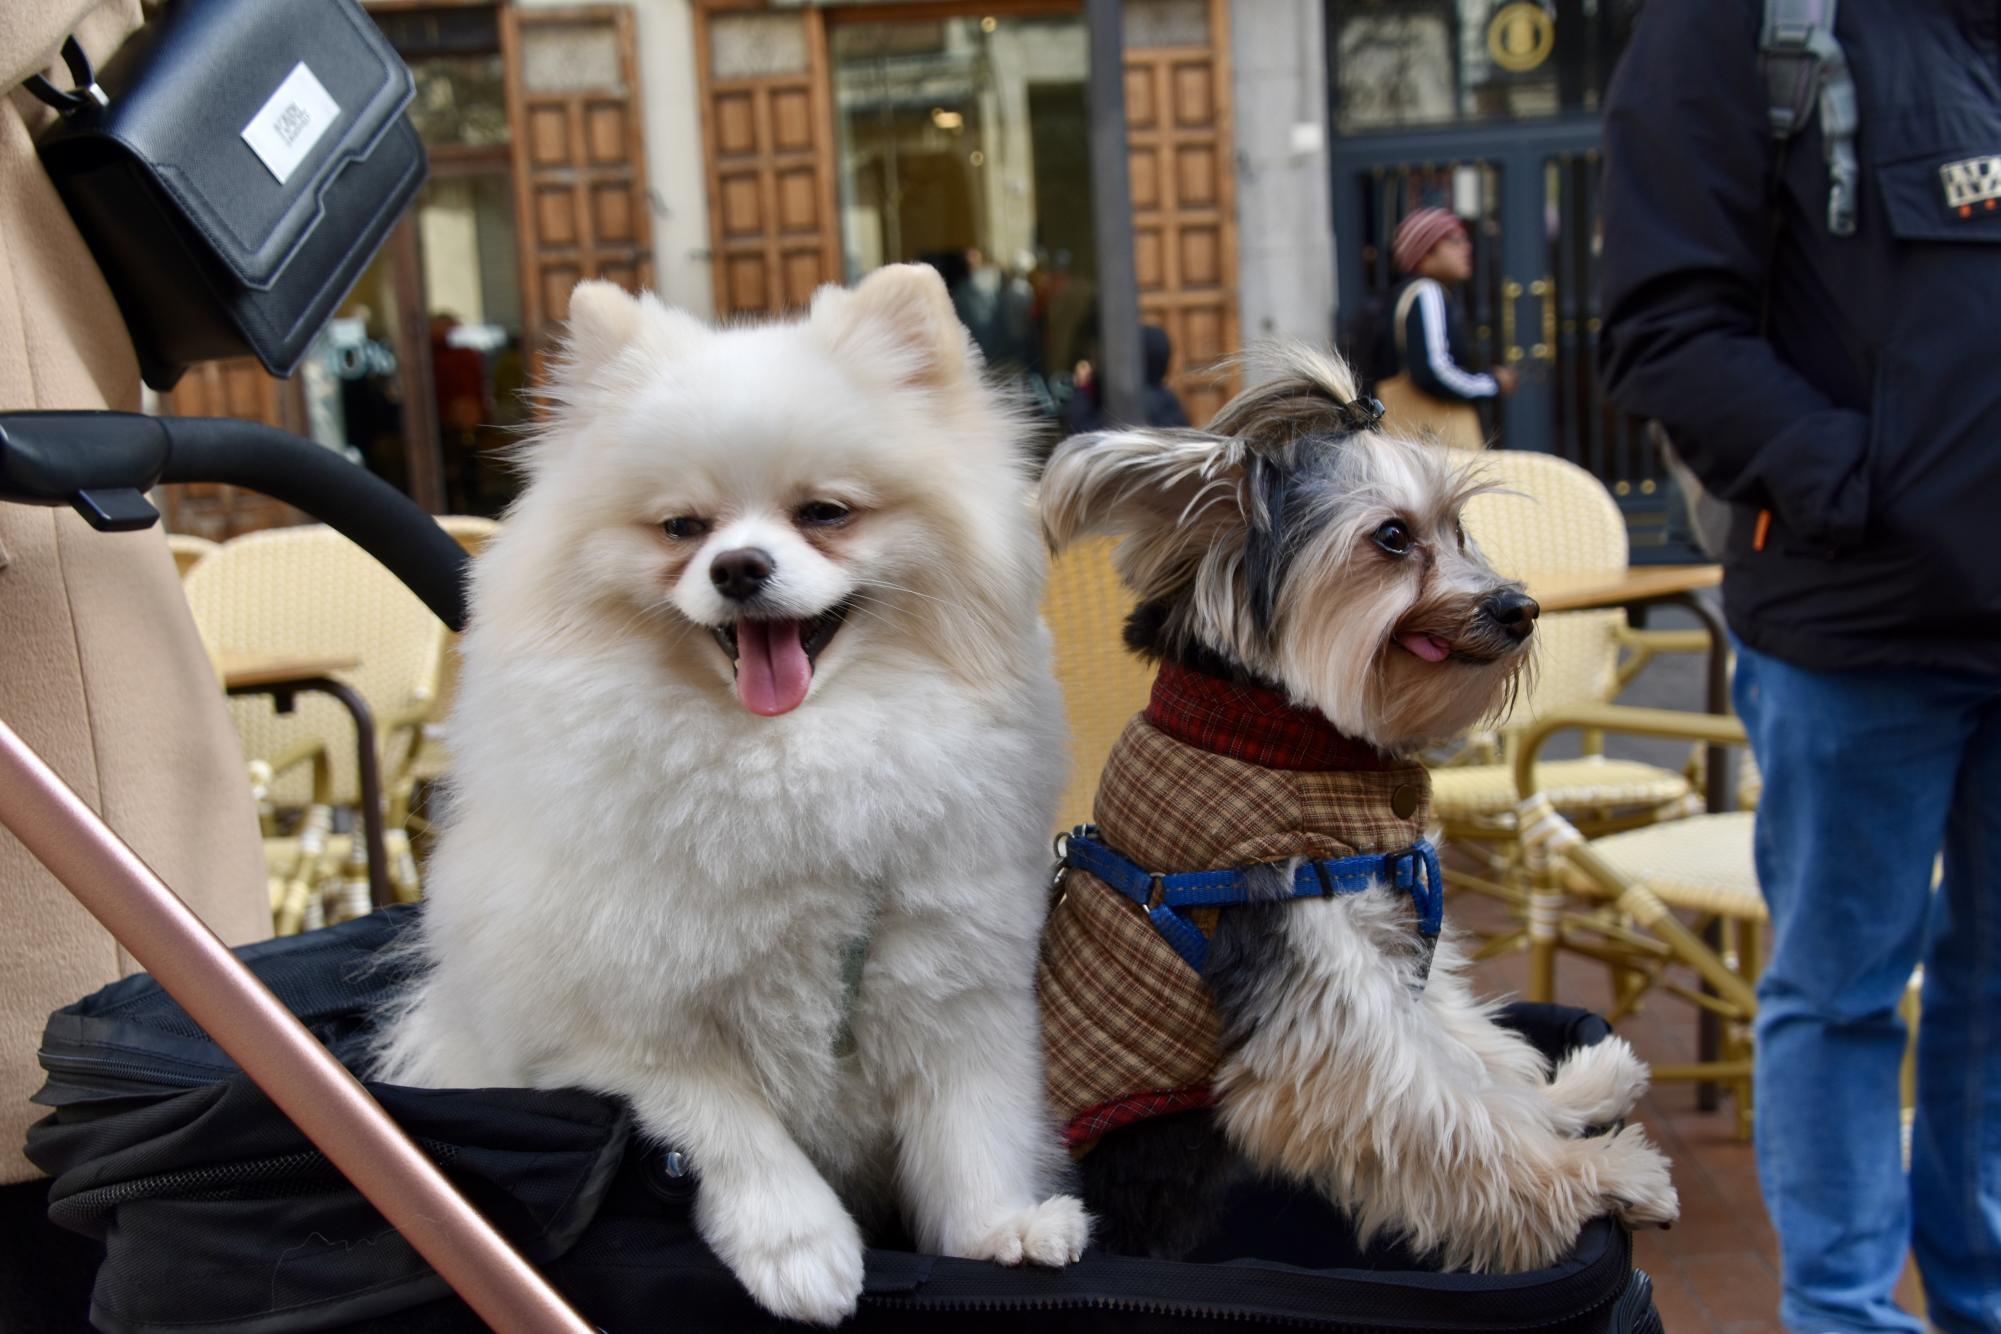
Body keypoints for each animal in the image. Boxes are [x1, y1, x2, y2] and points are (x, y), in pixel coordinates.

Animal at [376, 264, 1096, 1328]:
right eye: (682, 528)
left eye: (825, 513)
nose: (739, 566)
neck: (786, 758)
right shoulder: (617, 1027)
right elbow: (730, 1129)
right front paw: (800, 1249)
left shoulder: (953, 985)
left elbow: (971, 1129)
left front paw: (996, 1234)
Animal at [1040, 344, 1680, 1272]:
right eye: (1392, 537)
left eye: (1458, 530)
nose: (1520, 607)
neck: (1282, 745)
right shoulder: (1316, 998)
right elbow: (1454, 1115)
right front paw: (1596, 1176)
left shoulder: (1392, 953)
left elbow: (1482, 1065)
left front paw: (1574, 1094)